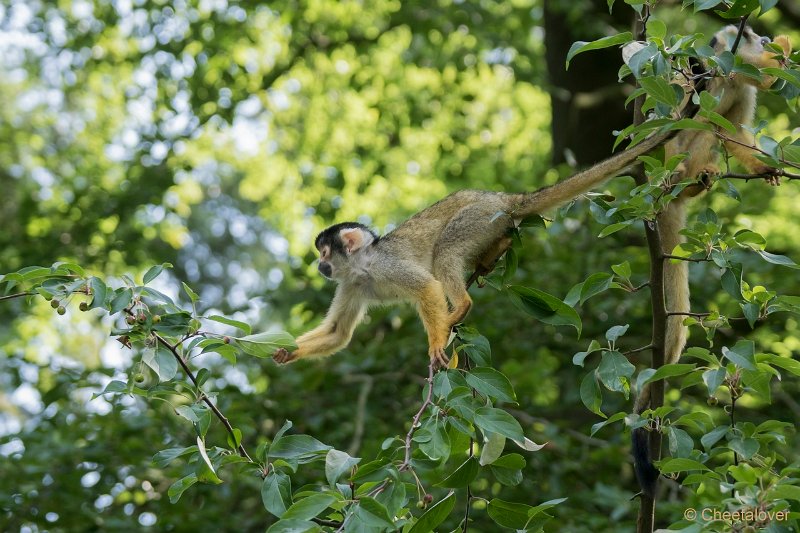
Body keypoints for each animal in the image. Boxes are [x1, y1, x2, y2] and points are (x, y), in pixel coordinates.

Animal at [276, 130, 676, 370]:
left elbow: (427, 288)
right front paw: (285, 351)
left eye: (324, 254)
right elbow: (337, 333)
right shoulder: (352, 284)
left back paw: (461, 306)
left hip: (477, 217)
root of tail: (504, 199)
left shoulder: (385, 266)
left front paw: (436, 341)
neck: (363, 267)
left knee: (445, 253)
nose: (318, 266)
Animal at [632, 27, 792, 496]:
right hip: (667, 167)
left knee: (716, 129)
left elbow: (736, 130)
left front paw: (763, 165)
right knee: (695, 124)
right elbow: (675, 111)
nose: (761, 38)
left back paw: (701, 181)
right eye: (751, 35)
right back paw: (685, 181)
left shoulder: (743, 84)